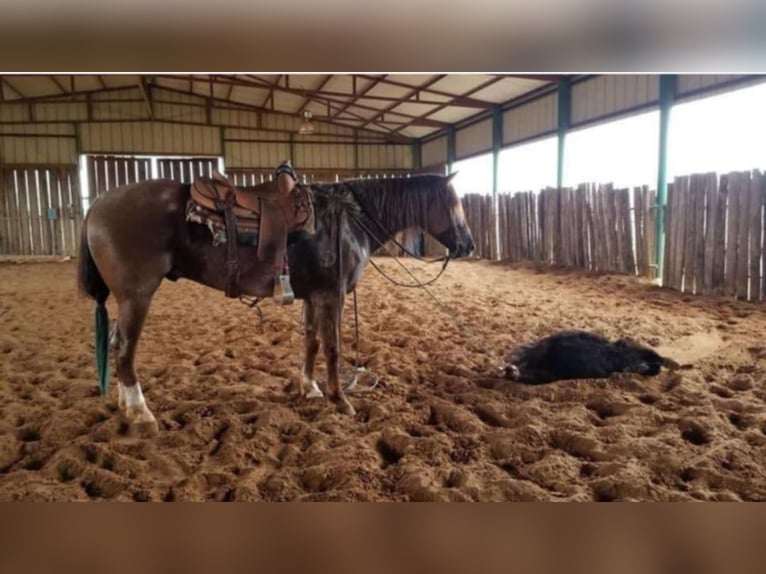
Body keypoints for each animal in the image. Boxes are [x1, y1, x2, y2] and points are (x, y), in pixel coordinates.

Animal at [78, 171, 475, 433]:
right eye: (454, 203)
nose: (468, 245)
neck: (348, 220)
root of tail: (97, 203)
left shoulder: (314, 295)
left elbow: (311, 342)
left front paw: (310, 389)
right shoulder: (331, 295)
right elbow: (333, 346)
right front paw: (340, 400)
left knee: (116, 345)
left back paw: (124, 405)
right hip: (137, 296)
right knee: (124, 348)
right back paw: (140, 412)